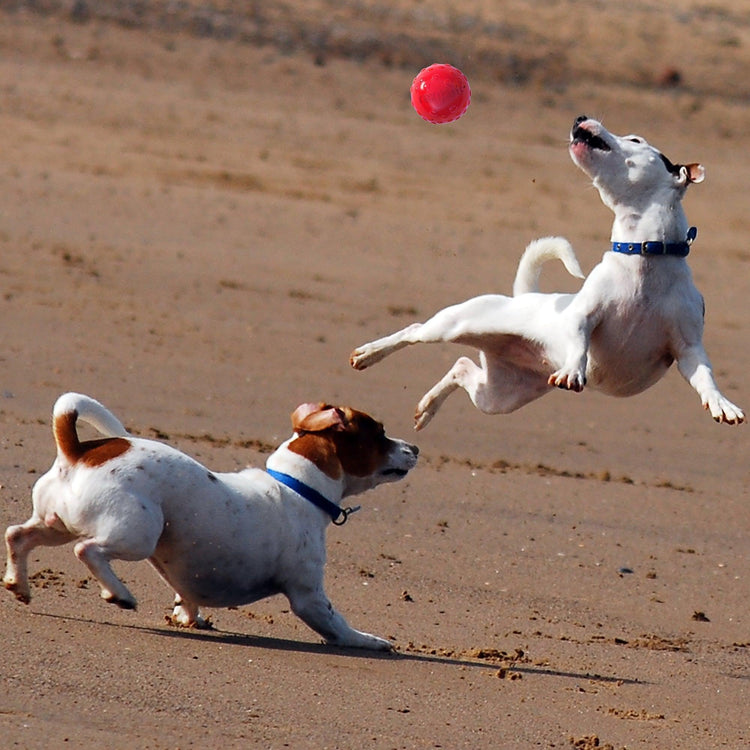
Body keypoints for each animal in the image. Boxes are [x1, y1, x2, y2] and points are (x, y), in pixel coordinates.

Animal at [2, 394, 420, 652]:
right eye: (379, 433)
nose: (415, 447)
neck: (296, 486)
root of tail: (76, 452)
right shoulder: (309, 596)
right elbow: (339, 626)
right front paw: (369, 640)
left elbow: (185, 598)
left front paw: (188, 617)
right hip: (138, 533)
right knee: (87, 550)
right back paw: (119, 594)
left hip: (54, 524)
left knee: (18, 536)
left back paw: (18, 584)